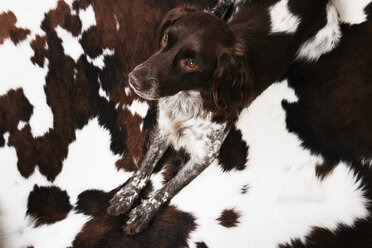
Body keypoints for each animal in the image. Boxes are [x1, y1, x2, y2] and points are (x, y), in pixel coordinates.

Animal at [107, 0, 340, 234]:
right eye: (165, 38)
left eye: (191, 63)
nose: (134, 80)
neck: (188, 99)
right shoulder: (164, 128)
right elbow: (145, 167)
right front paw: (126, 195)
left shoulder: (205, 154)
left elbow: (169, 187)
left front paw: (143, 213)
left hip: (325, 40)